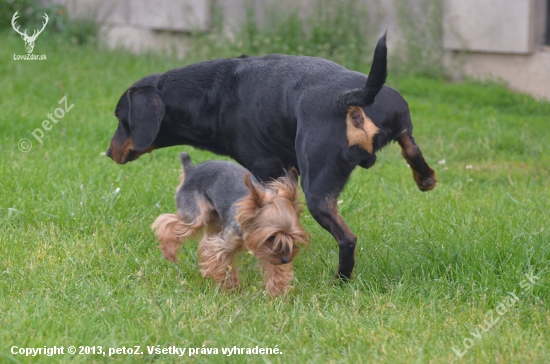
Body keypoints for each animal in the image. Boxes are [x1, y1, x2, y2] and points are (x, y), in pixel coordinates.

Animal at [106, 34, 436, 278]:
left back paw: (340, 279)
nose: (109, 152)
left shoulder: (266, 169)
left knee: (347, 238)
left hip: (317, 190)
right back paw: (425, 178)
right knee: (412, 148)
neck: (213, 94)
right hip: (400, 121)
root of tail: (350, 98)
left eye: (122, 119)